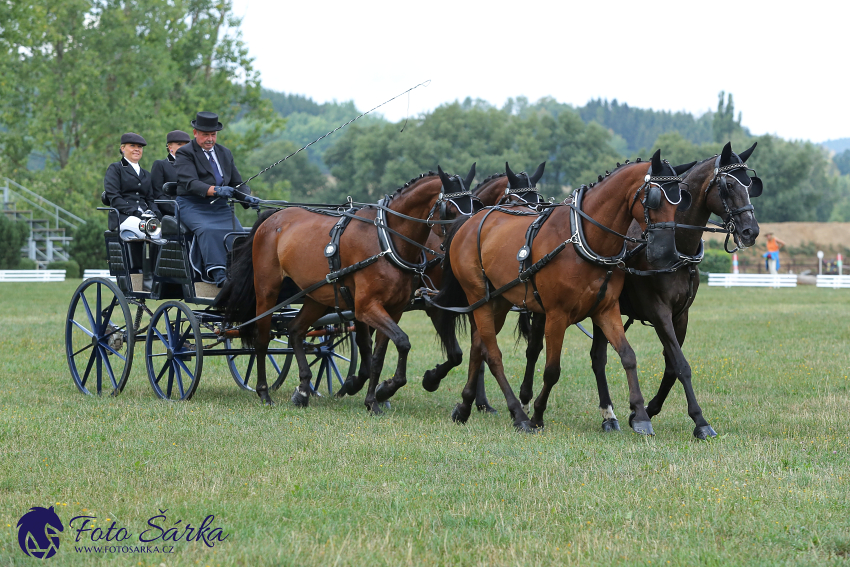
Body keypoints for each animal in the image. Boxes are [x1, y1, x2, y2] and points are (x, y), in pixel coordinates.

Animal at [222, 164, 476, 412]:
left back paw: (303, 391)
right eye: (450, 209)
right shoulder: (366, 307)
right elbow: (400, 342)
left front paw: (376, 396)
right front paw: (384, 391)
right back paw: (264, 392)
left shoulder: (393, 310)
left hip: (316, 297)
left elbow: (380, 355)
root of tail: (274, 216)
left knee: (295, 330)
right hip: (267, 291)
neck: (386, 241)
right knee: (262, 339)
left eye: (473, 206)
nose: (463, 242)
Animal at [434, 152, 684, 434]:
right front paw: (537, 415)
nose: (667, 254)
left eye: (680, 200)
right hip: (478, 297)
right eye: (654, 198)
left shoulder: (606, 309)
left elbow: (628, 356)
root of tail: (470, 221)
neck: (583, 238)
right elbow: (552, 370)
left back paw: (465, 406)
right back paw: (518, 414)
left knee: (479, 347)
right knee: (493, 354)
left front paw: (640, 415)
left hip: (497, 300)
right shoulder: (556, 315)